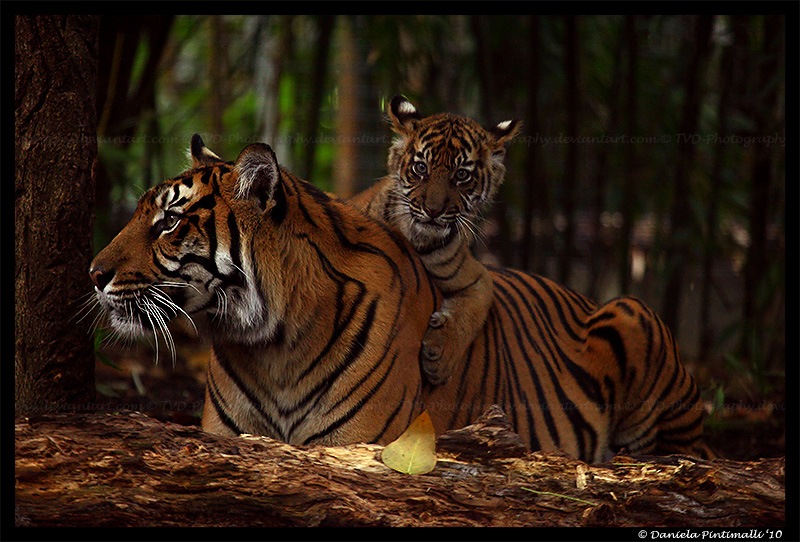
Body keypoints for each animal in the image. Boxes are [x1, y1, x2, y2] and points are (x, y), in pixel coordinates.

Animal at [90, 134, 708, 462]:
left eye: (169, 222)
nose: (93, 274)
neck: (268, 347)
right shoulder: (226, 436)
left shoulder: (364, 442)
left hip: (634, 317)